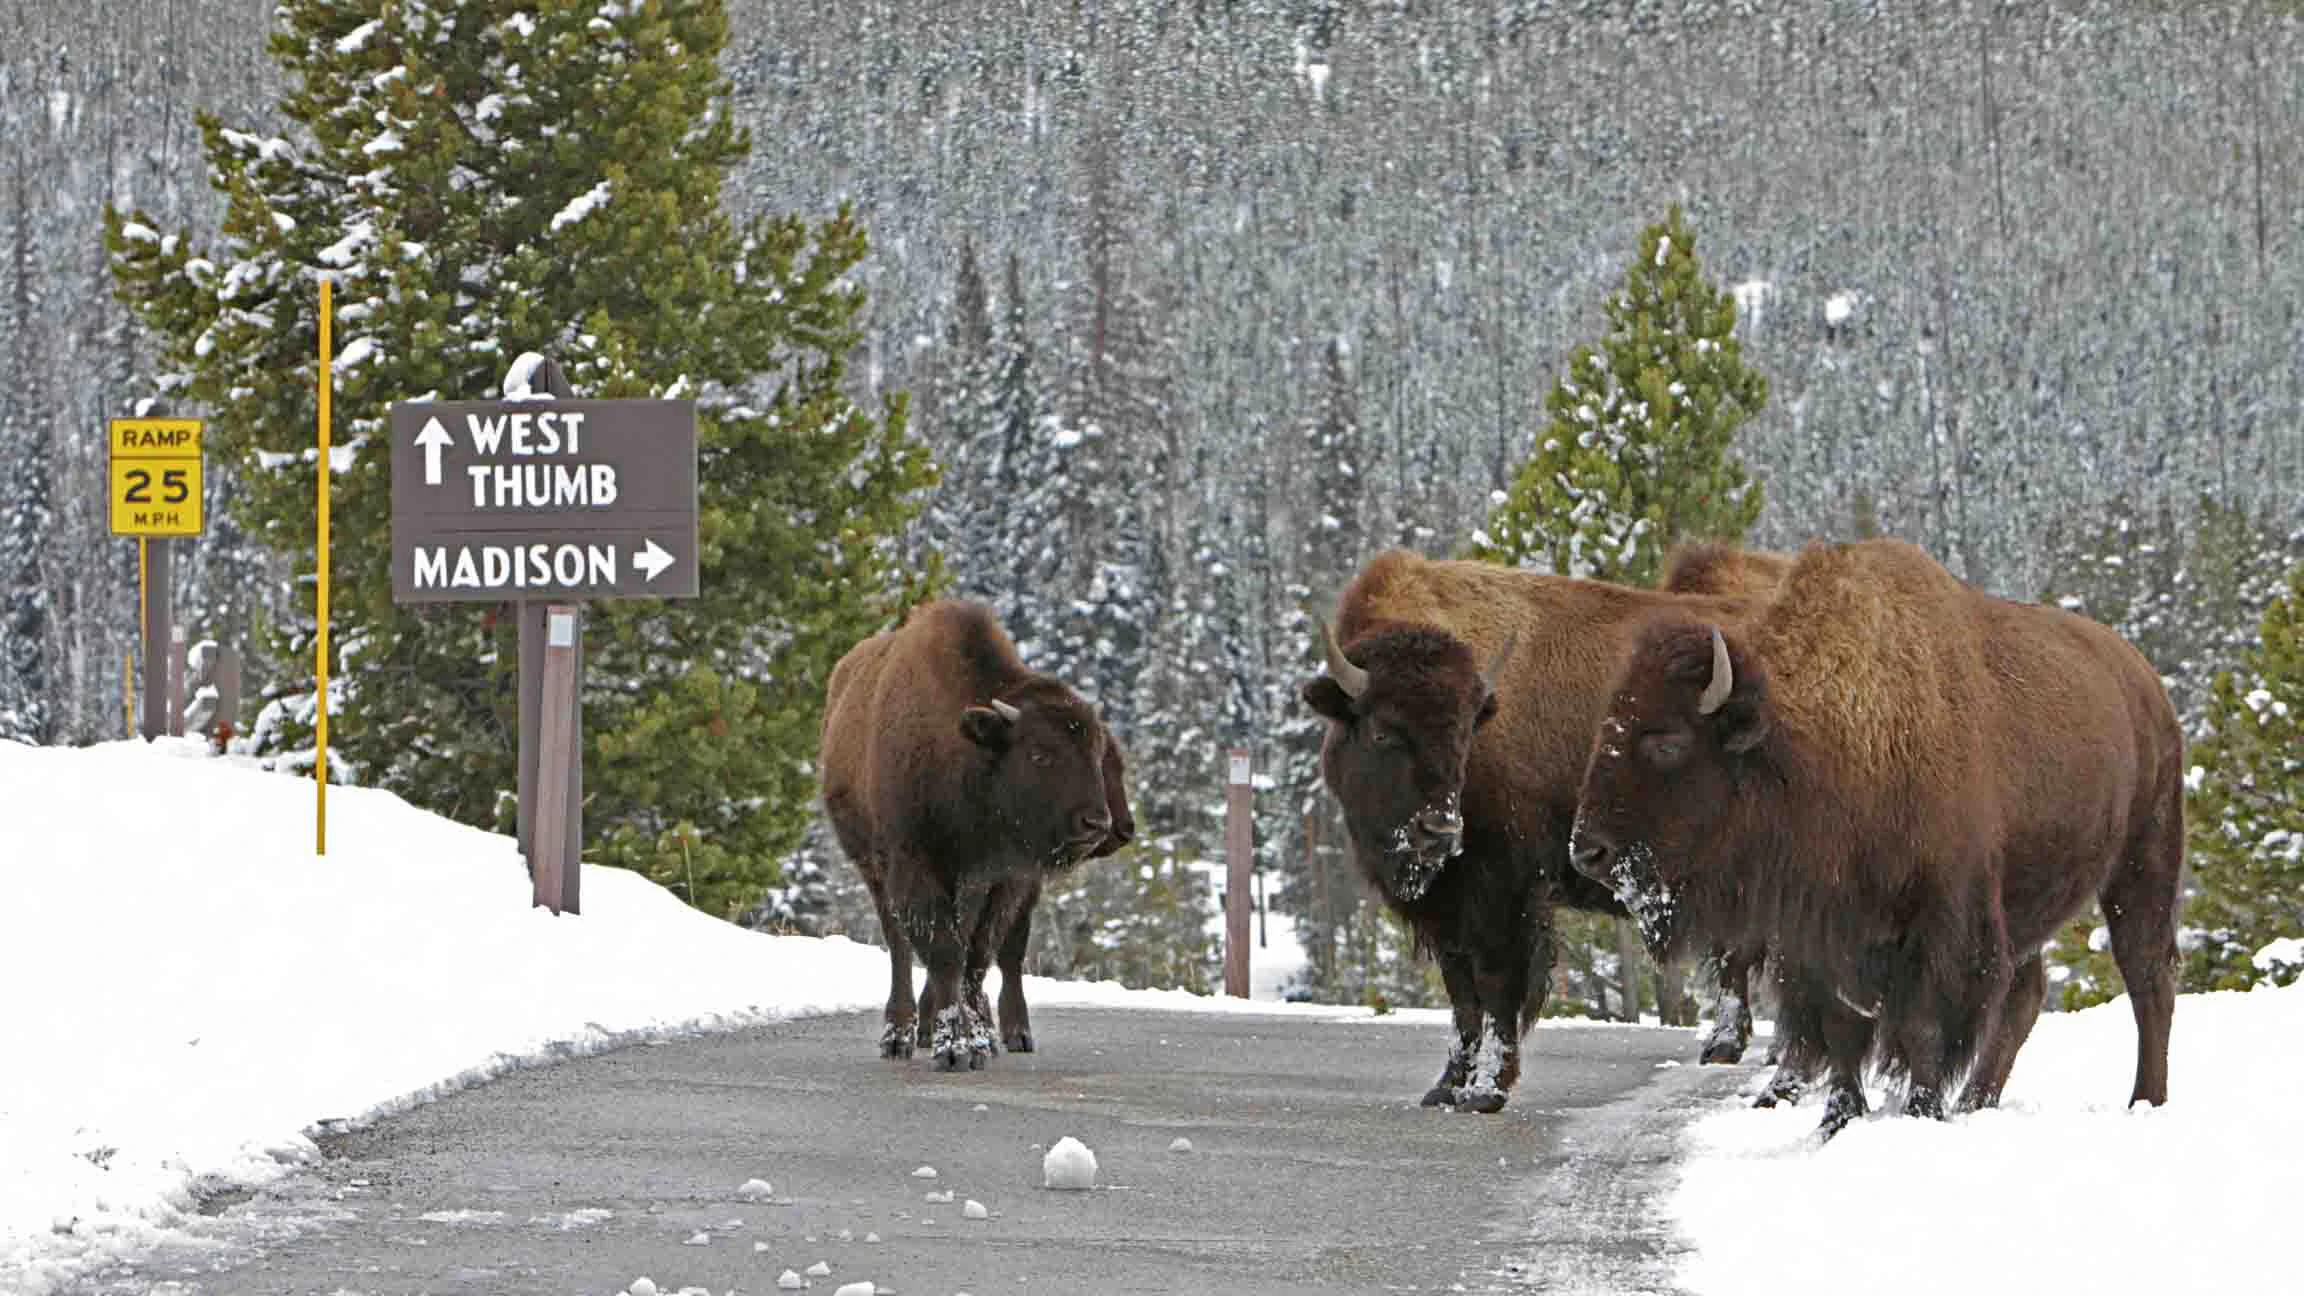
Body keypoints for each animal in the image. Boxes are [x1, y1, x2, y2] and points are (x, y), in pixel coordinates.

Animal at [821, 600, 1134, 1070]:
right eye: (1040, 754)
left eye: (1098, 756)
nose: (1099, 824)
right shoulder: (915, 867)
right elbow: (945, 952)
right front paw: (955, 1048)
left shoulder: (1001, 878)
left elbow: (979, 953)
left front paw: (981, 1040)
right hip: (874, 869)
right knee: (899, 947)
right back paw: (898, 1037)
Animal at [1301, 549, 1783, 1112]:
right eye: (1383, 732)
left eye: (1465, 732)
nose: (1438, 828)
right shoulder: (1448, 909)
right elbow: (1461, 993)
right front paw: (1445, 1087)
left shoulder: (1501, 893)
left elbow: (1495, 986)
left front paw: (1486, 1090)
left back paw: (1729, 1048)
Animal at [1569, 539, 2184, 1138]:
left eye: (1666, 741)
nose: (1587, 851)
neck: (1828, 737)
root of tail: (2146, 683)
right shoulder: (1815, 932)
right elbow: (1843, 1027)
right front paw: (1837, 1120)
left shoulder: (1940, 922)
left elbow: (1921, 1026)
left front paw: (1920, 1112)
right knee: (2026, 995)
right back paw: (1977, 1104)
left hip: (2142, 861)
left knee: (2147, 977)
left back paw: (2145, 1101)